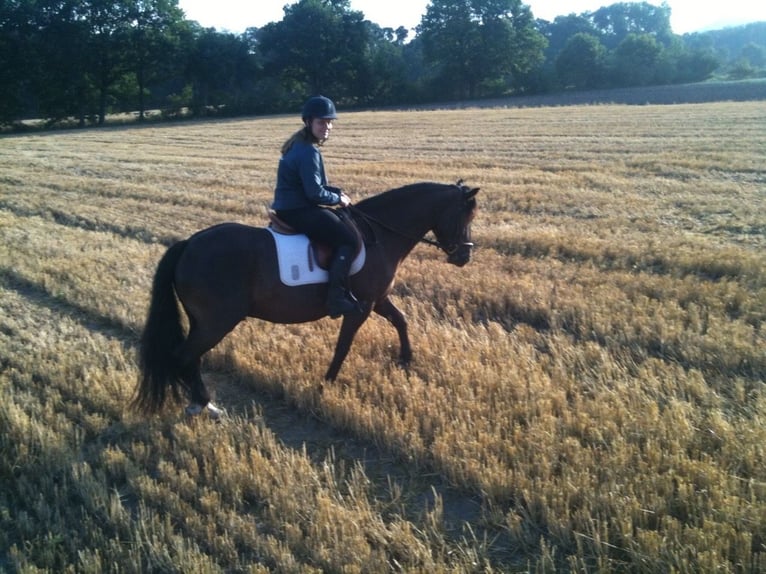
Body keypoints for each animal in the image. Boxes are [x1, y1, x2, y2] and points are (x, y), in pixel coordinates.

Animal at [133, 180, 480, 418]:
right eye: (464, 215)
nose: (464, 256)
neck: (380, 235)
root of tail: (189, 244)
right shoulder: (361, 306)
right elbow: (343, 346)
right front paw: (325, 385)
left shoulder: (378, 299)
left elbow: (401, 320)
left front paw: (407, 359)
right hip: (215, 322)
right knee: (184, 356)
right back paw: (202, 406)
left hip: (203, 322)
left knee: (190, 357)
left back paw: (203, 404)